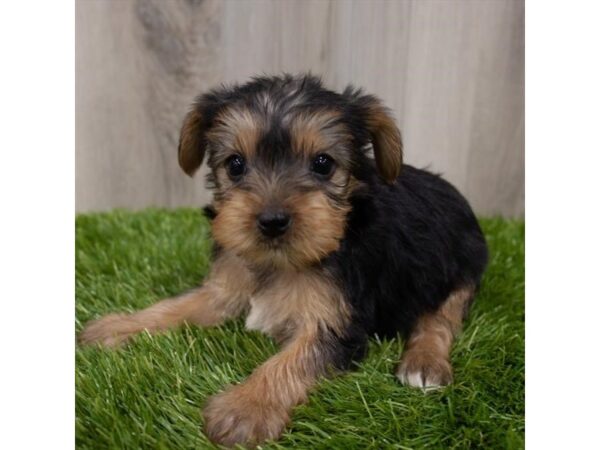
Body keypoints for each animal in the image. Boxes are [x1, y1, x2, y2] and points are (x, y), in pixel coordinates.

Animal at [79, 74, 490, 446]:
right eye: (235, 165)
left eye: (323, 164)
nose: (272, 221)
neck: (280, 262)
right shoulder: (226, 283)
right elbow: (180, 305)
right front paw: (118, 327)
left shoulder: (336, 320)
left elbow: (293, 360)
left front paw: (245, 409)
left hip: (463, 263)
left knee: (442, 315)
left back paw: (424, 364)